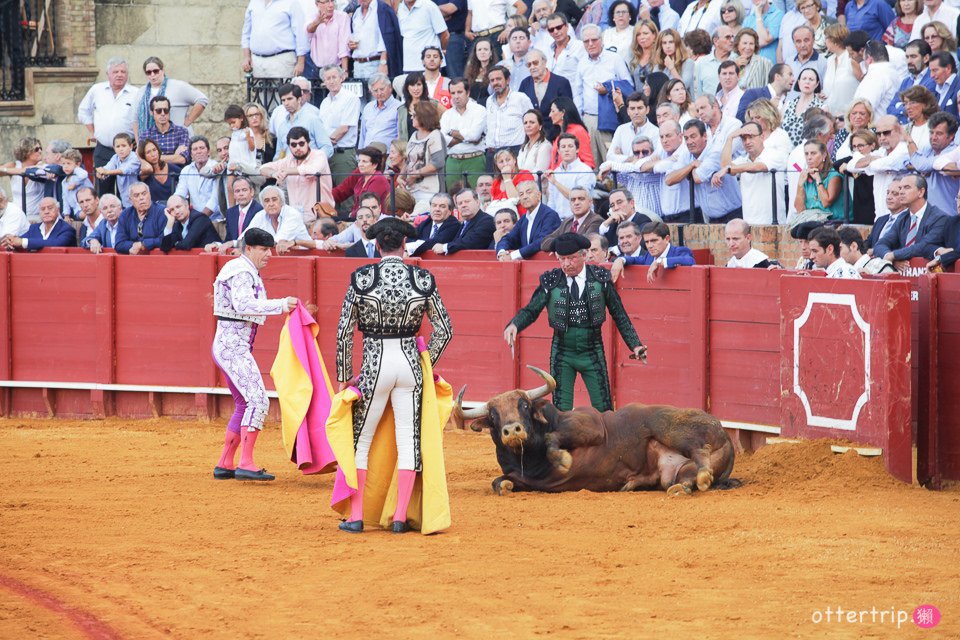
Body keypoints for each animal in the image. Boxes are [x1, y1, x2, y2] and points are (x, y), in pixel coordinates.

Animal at [456, 364, 736, 496]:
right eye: (493, 416)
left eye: (524, 405)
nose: (512, 430)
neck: (529, 458)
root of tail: (727, 438)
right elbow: (497, 481)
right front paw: (504, 486)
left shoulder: (591, 426)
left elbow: (552, 438)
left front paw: (563, 459)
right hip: (674, 472)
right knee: (684, 478)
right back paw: (673, 487)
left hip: (670, 428)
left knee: (700, 449)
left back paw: (702, 475)